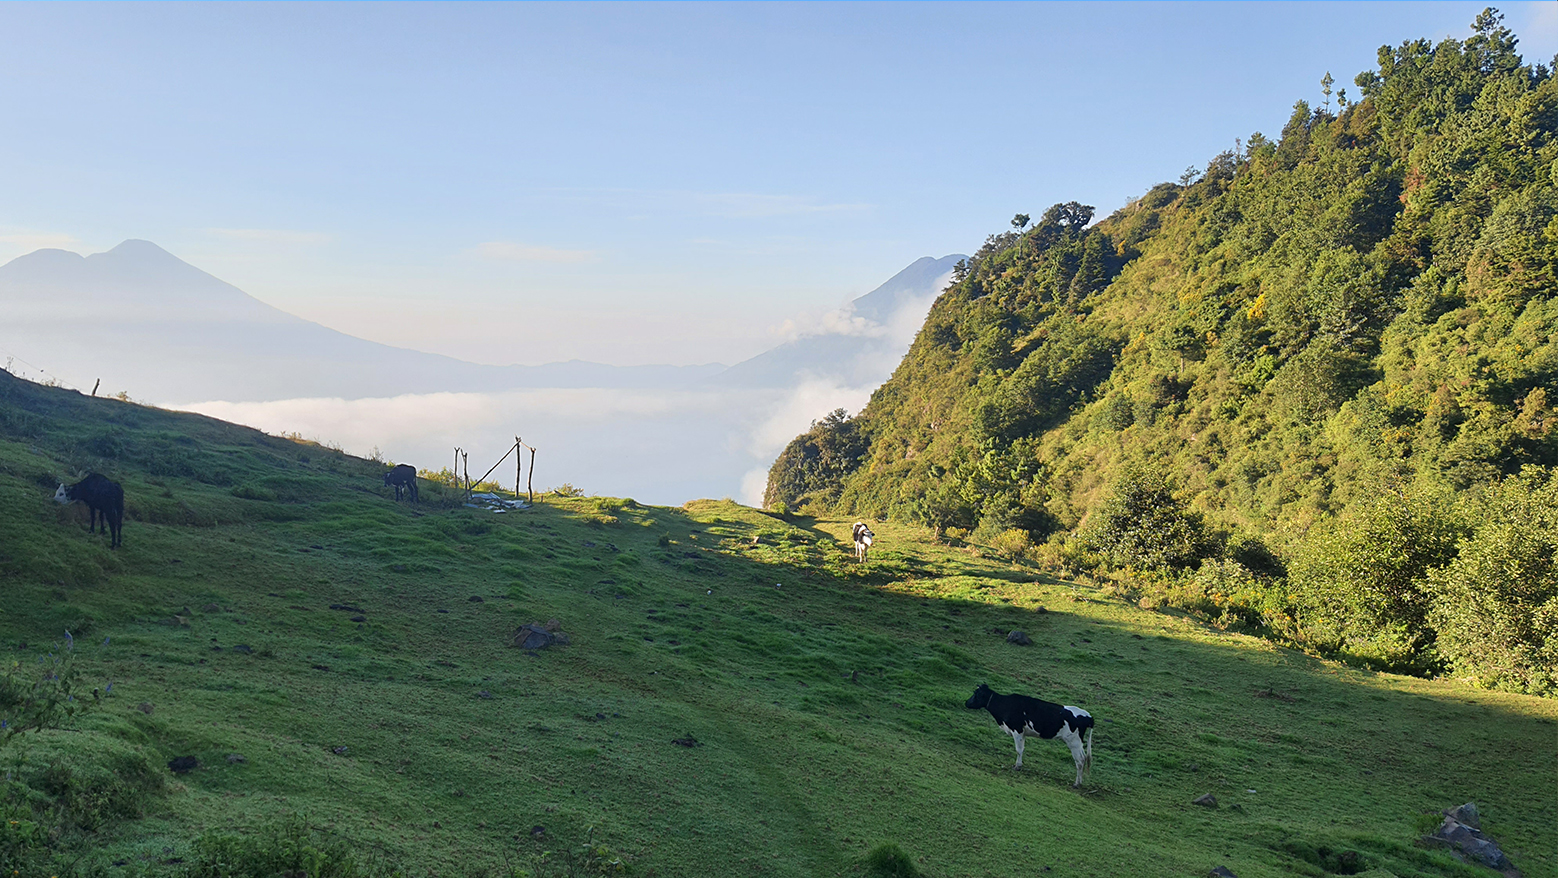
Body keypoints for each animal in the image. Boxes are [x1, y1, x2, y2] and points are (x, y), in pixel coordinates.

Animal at [959, 681, 1096, 784]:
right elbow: (1022, 749)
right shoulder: (1023, 733)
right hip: (1077, 742)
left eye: (975, 694)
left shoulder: (1017, 730)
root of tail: (1088, 716)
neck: (1005, 705)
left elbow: (1018, 750)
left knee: (1080, 760)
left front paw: (1017, 766)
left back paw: (1076, 783)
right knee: (1083, 758)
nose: (966, 702)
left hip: (1073, 742)